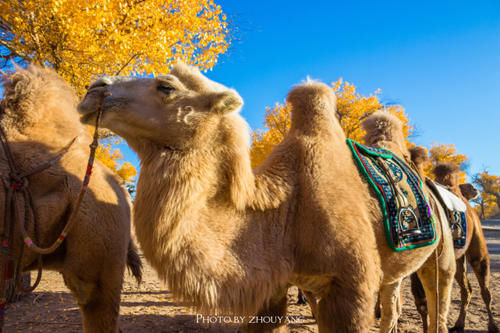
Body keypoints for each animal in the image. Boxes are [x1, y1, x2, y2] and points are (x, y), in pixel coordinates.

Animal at [79, 63, 458, 332]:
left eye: (166, 86)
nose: (94, 89)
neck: (283, 210)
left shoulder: (351, 287)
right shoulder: (270, 287)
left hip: (441, 254)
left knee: (438, 297)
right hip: (392, 270)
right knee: (392, 303)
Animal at [408, 150, 498, 332]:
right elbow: (421, 302)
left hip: (477, 247)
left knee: (485, 290)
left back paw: (492, 326)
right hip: (457, 258)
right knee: (466, 289)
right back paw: (458, 324)